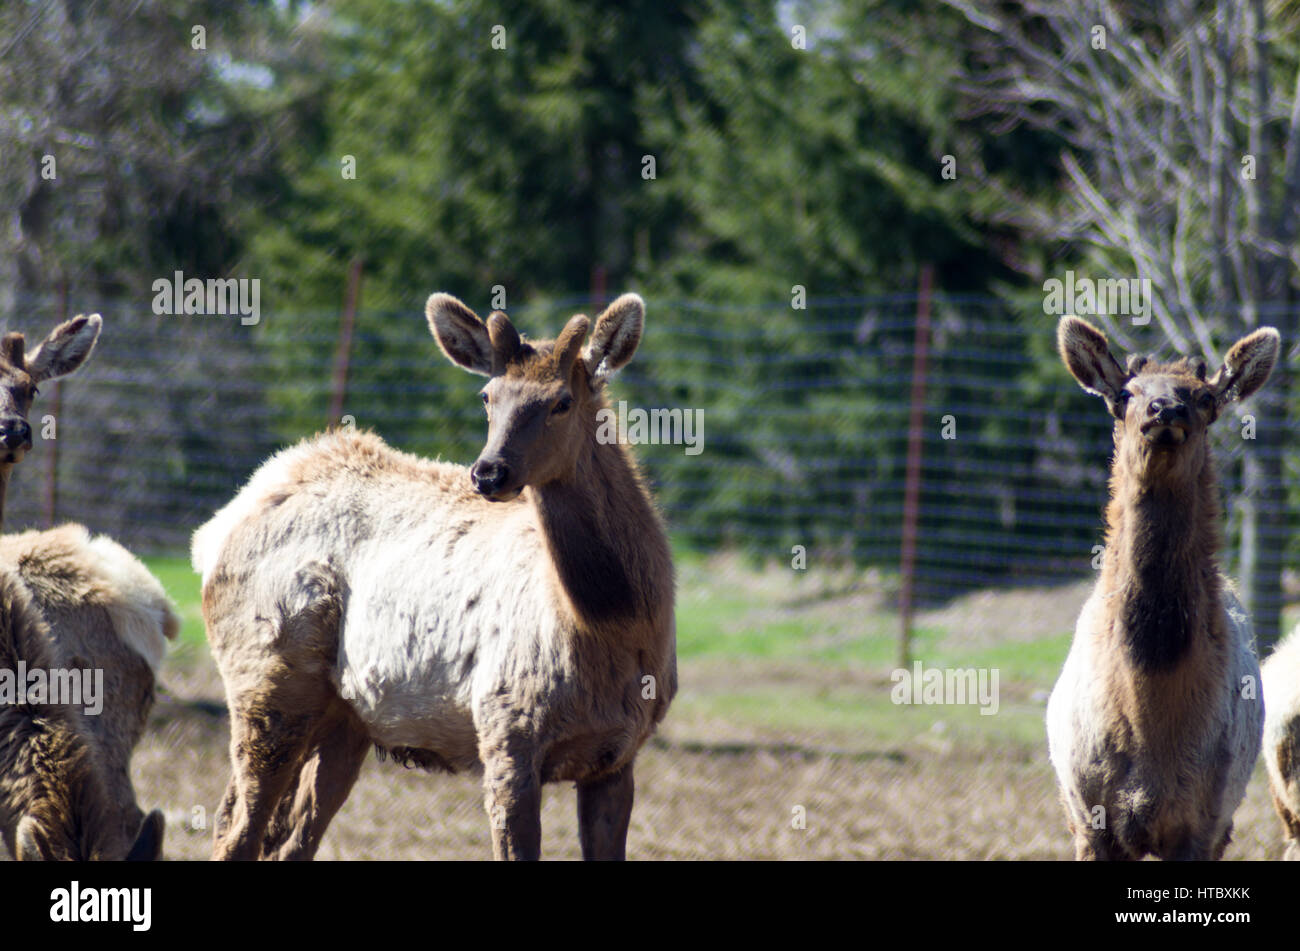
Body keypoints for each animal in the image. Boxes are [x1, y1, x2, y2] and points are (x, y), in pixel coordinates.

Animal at [195, 291, 681, 862]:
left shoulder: (618, 756)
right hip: (265, 682)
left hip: (344, 720)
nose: (488, 472)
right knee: (238, 832)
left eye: (562, 401)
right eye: (488, 396)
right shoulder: (505, 731)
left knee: (286, 839)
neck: (613, 628)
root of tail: (216, 528)